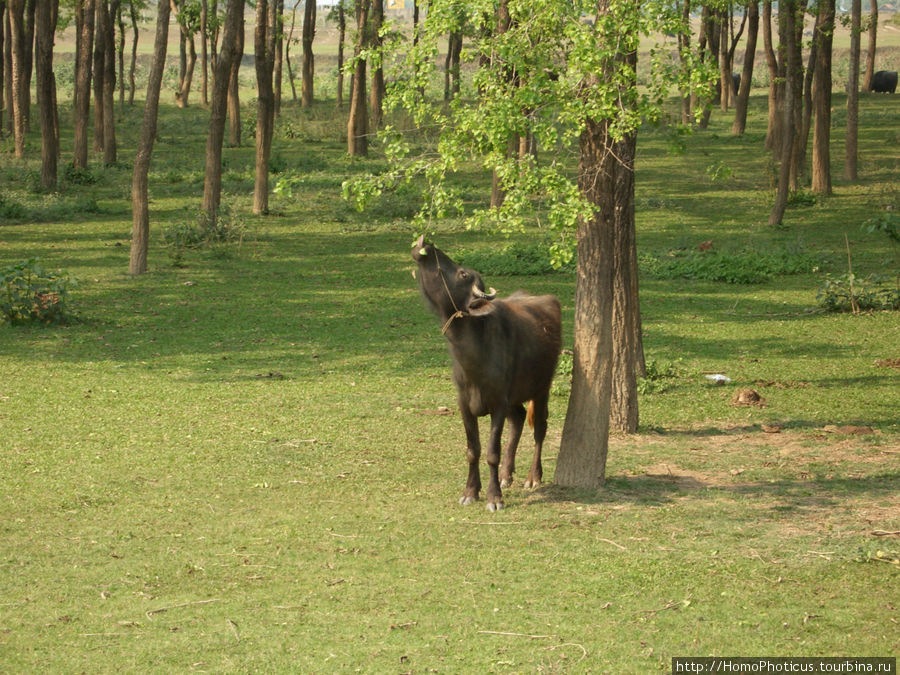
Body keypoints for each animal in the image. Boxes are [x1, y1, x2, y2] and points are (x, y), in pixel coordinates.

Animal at [412, 238, 560, 512]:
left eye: (463, 273)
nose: (427, 243)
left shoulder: (497, 404)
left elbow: (492, 452)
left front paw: (494, 498)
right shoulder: (465, 404)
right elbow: (473, 450)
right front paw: (471, 491)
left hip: (542, 386)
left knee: (540, 427)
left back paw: (533, 477)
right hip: (514, 396)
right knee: (519, 419)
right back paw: (506, 476)